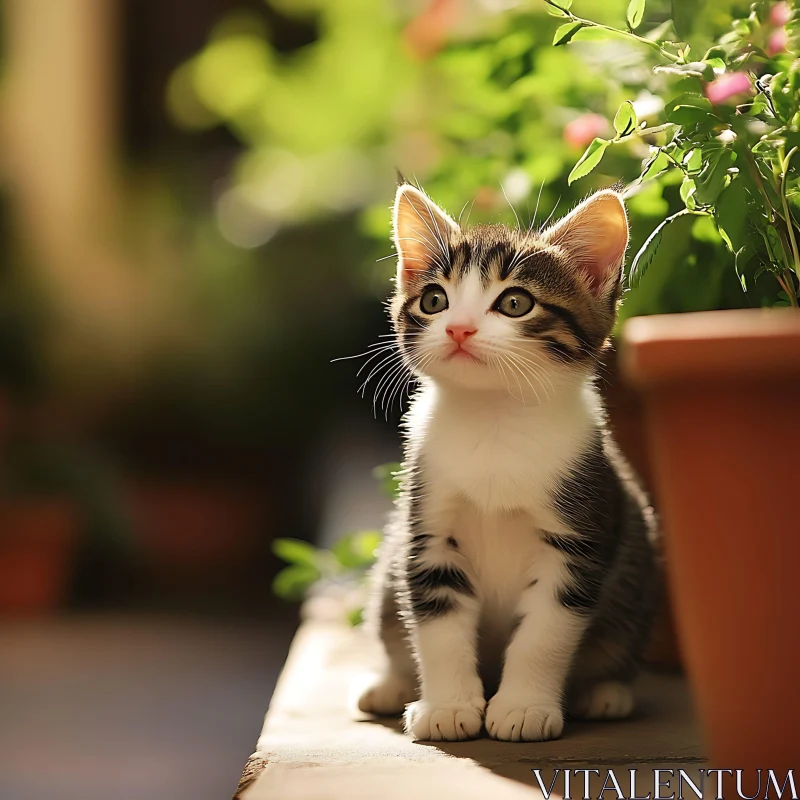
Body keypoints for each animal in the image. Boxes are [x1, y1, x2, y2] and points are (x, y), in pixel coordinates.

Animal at [356, 183, 656, 744]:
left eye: (515, 303)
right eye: (434, 300)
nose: (458, 329)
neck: (493, 417)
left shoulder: (577, 537)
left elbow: (545, 631)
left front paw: (523, 707)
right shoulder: (428, 529)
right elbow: (437, 624)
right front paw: (448, 706)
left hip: (636, 560)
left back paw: (606, 691)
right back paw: (388, 684)